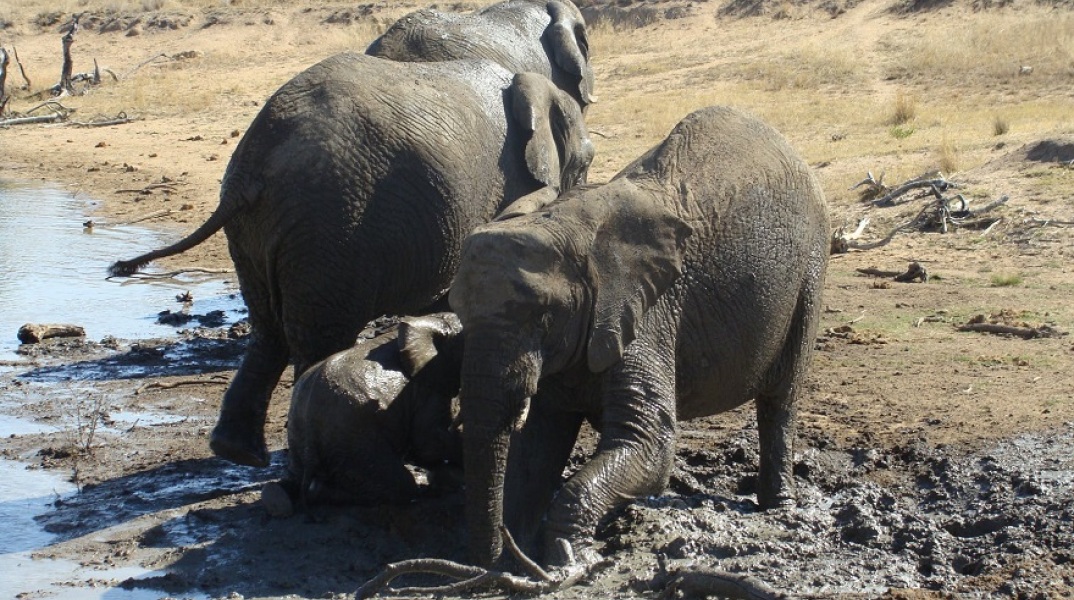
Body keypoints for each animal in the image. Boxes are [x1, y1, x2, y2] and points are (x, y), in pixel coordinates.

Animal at [109, 53, 594, 468]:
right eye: (585, 163)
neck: (531, 86)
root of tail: (253, 164)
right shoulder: (508, 188)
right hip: (331, 227)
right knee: (317, 337)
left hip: (262, 232)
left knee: (268, 330)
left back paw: (240, 454)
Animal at [261, 313, 464, 517]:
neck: (436, 319)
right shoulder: (428, 385)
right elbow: (428, 442)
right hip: (353, 440)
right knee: (400, 485)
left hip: (301, 435)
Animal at [448, 106, 831, 569]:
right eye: (459, 313)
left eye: (543, 316)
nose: (486, 559)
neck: (573, 228)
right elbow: (539, 443)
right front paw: (519, 556)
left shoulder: (649, 313)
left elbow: (649, 442)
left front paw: (567, 560)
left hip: (811, 267)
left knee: (781, 397)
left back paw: (780, 507)